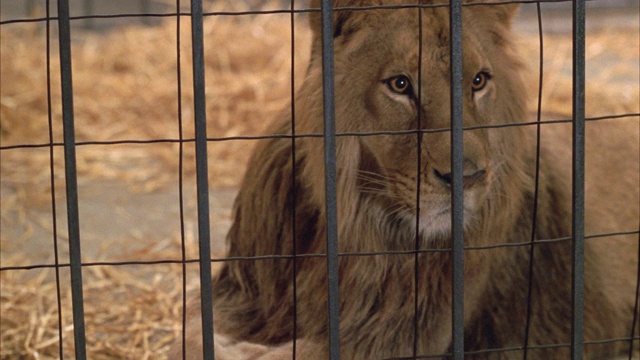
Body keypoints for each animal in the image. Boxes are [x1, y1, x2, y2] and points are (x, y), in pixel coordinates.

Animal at [168, 1, 636, 358]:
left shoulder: (398, 339)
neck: (351, 227)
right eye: (400, 84)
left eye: (478, 81)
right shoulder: (239, 297)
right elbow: (192, 331)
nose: (467, 177)